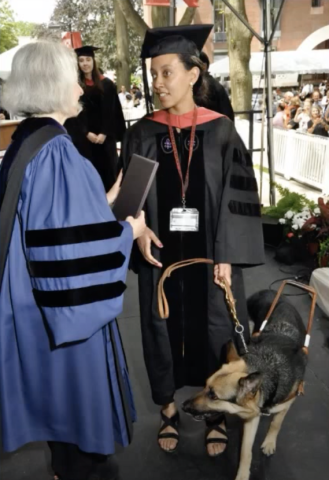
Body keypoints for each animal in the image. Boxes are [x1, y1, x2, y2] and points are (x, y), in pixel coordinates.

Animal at [181, 288, 306, 480]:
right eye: (204, 386)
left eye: (213, 395)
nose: (184, 406)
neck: (268, 367)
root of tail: (270, 291)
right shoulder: (251, 419)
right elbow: (246, 451)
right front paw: (242, 475)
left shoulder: (285, 406)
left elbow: (276, 424)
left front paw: (270, 442)